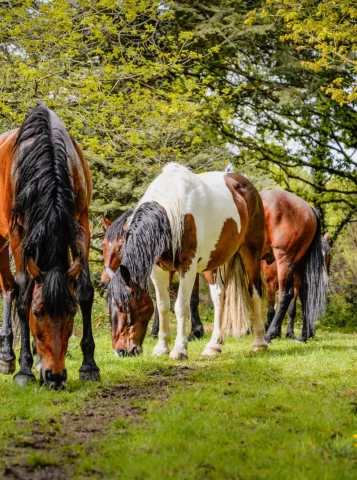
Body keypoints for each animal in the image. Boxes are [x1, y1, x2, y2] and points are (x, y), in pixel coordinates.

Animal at [0, 103, 99, 388]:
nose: (55, 377)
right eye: (38, 313)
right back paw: (7, 356)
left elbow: (85, 290)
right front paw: (25, 369)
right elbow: (23, 297)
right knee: (8, 288)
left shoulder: (81, 224)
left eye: (71, 311)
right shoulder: (18, 234)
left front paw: (89, 365)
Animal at [105, 163, 268, 358]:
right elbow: (163, 306)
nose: (121, 351)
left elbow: (181, 306)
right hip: (212, 261)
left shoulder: (188, 266)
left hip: (251, 251)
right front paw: (161, 347)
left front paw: (179, 349)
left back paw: (259, 342)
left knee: (255, 292)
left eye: (124, 307)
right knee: (219, 297)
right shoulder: (159, 270)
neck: (172, 212)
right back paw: (213, 345)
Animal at [258, 189, 328, 344]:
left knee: (285, 296)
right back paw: (303, 335)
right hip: (299, 265)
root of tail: (309, 208)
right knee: (305, 294)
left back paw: (269, 334)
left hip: (286, 261)